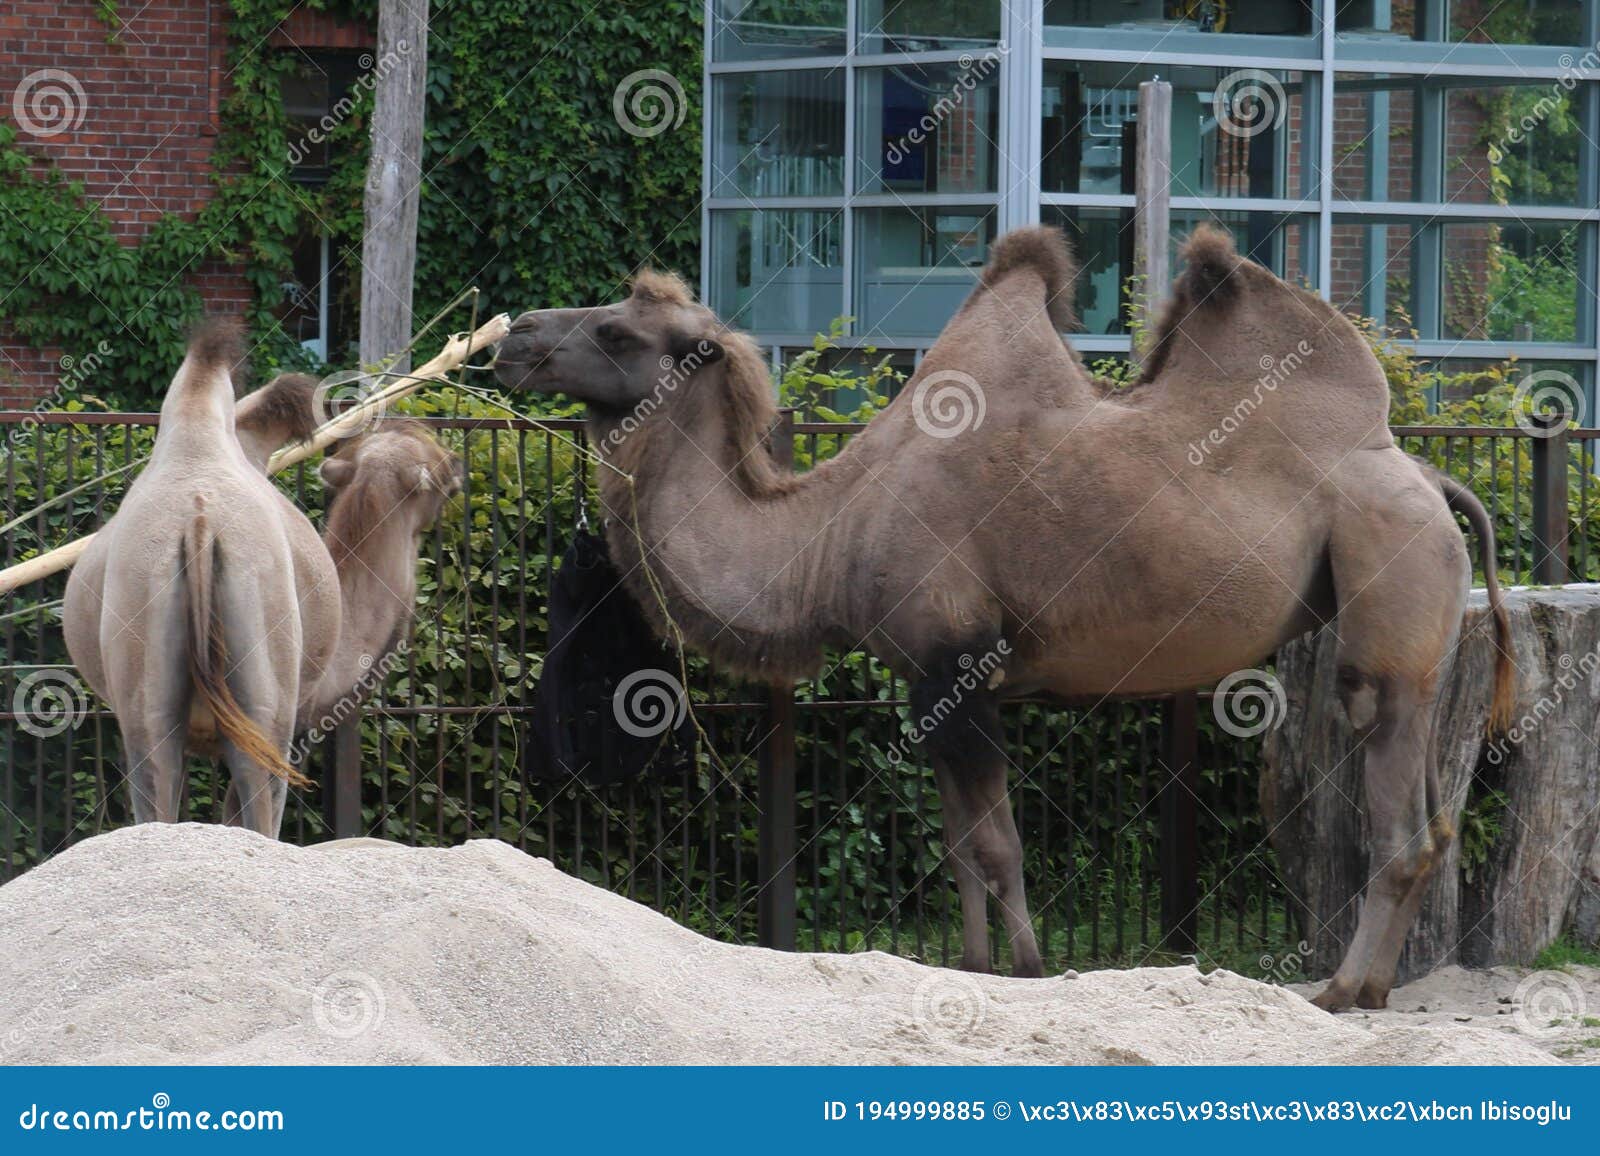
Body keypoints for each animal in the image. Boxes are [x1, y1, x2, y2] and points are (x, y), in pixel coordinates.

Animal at [64, 323, 464, 838]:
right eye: (444, 482)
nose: (457, 464)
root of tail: (198, 520)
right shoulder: (295, 725)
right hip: (266, 700)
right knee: (258, 797)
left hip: (143, 682)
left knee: (155, 780)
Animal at [492, 225, 1516, 1011]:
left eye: (617, 330)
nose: (513, 336)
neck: (827, 533)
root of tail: (1428, 473)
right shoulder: (925, 683)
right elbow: (956, 844)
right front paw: (973, 967)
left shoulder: (961, 660)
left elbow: (995, 840)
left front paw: (1027, 969)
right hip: (1417, 617)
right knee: (1432, 817)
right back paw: (1370, 987)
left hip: (1388, 564)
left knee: (1389, 782)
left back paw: (1341, 991)